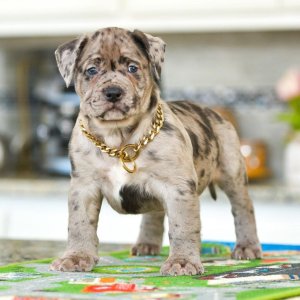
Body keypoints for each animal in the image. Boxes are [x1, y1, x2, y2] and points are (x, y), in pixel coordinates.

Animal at [49, 27, 260, 276]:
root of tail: (213, 111)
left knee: (243, 208)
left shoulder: (178, 187)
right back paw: (147, 244)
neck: (118, 139)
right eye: (92, 70)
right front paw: (77, 256)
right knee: (154, 213)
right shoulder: (84, 187)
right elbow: (79, 224)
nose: (113, 92)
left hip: (232, 173)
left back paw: (247, 247)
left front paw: (182, 261)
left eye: (132, 68)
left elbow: (182, 227)